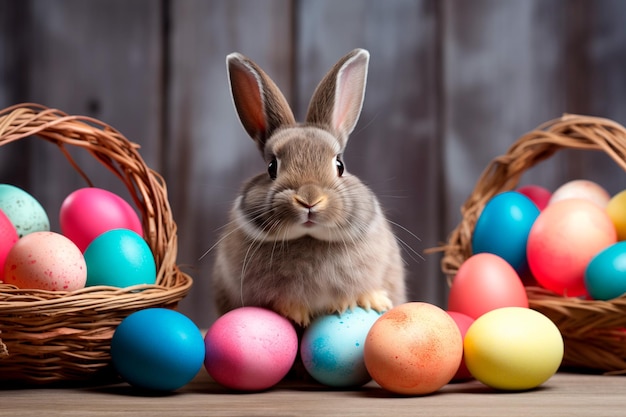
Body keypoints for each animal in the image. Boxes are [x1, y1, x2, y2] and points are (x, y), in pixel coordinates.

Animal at [212, 48, 408, 326]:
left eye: (340, 165)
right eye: (272, 167)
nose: (309, 199)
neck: (309, 237)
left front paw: (366, 301)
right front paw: (296, 313)